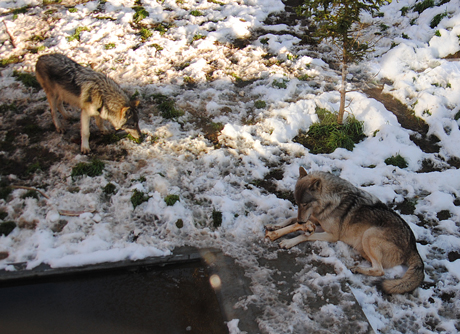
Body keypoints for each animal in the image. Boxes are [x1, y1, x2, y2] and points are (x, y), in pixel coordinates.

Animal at [266, 166, 424, 294]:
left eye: (305, 204)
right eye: (297, 203)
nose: (301, 221)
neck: (330, 202)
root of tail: (414, 247)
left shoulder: (332, 235)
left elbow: (305, 236)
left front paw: (288, 241)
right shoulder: (315, 220)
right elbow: (290, 220)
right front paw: (275, 227)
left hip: (369, 234)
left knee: (380, 270)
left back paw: (357, 268)